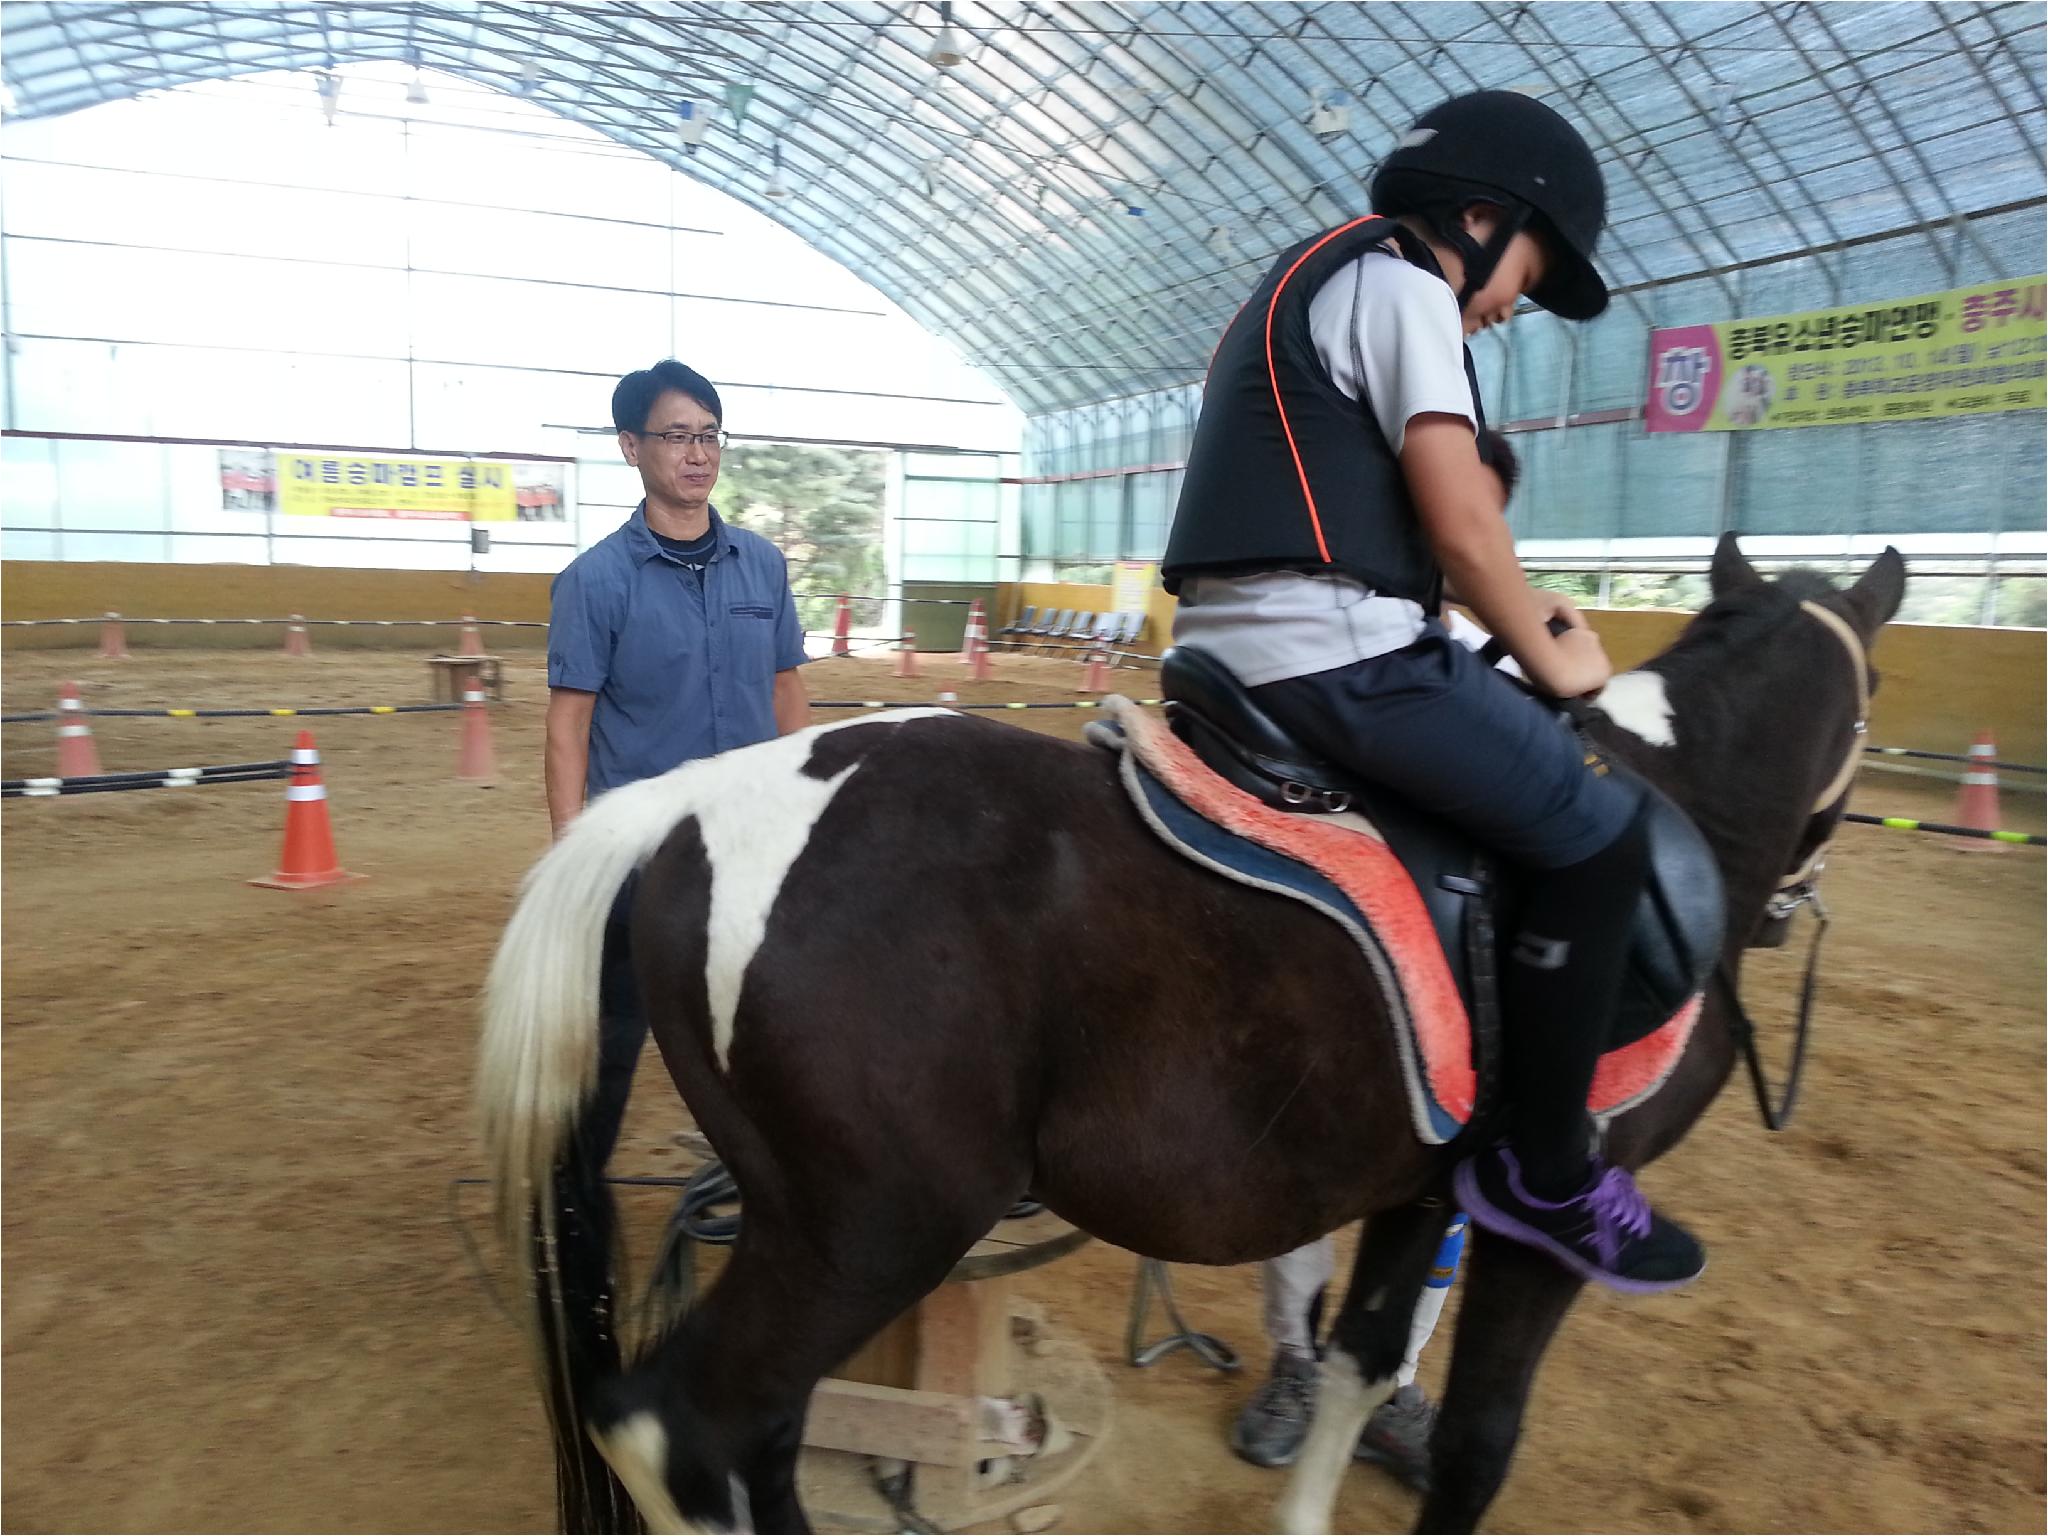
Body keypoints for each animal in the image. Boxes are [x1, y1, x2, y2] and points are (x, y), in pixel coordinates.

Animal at [475, 536, 1900, 1531]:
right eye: (1873, 696)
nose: (1793, 906)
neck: (1674, 803)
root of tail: (684, 807)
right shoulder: (1534, 1229)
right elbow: (1477, 1445)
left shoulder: (1422, 1190)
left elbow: (1358, 1367)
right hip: (870, 1231)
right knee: (671, 1426)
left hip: (801, 1223)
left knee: (758, 1432)